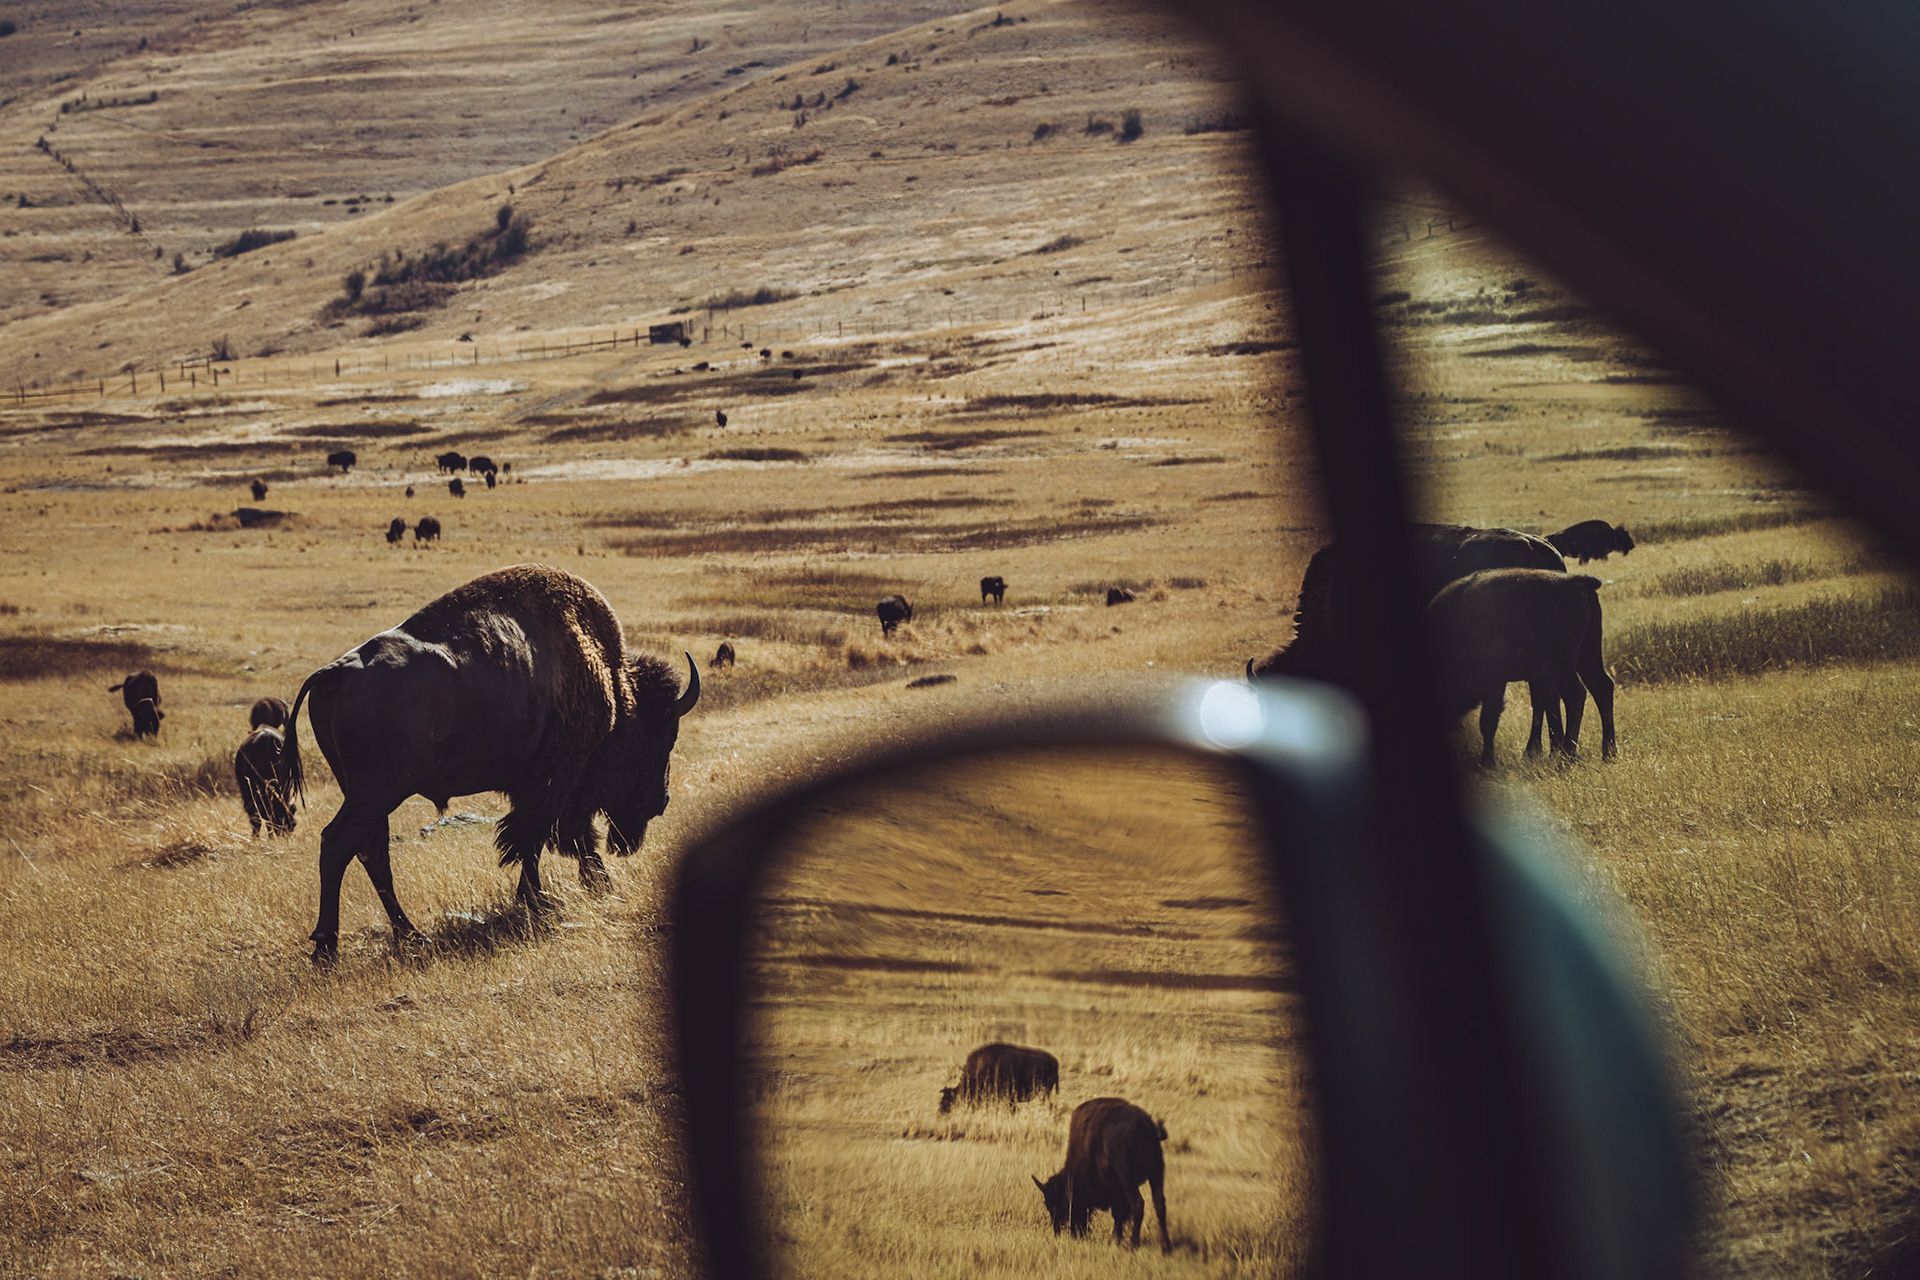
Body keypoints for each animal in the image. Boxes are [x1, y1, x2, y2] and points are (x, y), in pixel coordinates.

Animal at [284, 565, 700, 963]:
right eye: (662, 737)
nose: (660, 802)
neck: (611, 683)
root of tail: (332, 674)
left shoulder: (533, 786)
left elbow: (538, 841)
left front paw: (559, 893)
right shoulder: (558, 781)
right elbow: (545, 836)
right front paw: (558, 895)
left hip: (363, 792)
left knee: (373, 851)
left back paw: (410, 934)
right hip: (376, 792)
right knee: (338, 844)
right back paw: (327, 947)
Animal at [1034, 1098, 1170, 1252]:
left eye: (1054, 1204)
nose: (1057, 1230)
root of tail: (1147, 1125)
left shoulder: (1116, 1189)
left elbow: (1118, 1214)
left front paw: (1115, 1240)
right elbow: (1119, 1215)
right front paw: (1116, 1240)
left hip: (1129, 1180)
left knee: (1139, 1204)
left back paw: (1133, 1244)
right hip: (1156, 1173)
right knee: (1159, 1204)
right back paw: (1166, 1247)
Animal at [1428, 568, 1617, 765]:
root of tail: (1575, 581)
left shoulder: (1495, 681)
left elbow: (1488, 720)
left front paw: (1487, 763)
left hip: (1561, 663)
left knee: (1575, 695)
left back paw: (1566, 759)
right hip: (1587, 656)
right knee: (1602, 688)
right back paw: (1608, 754)